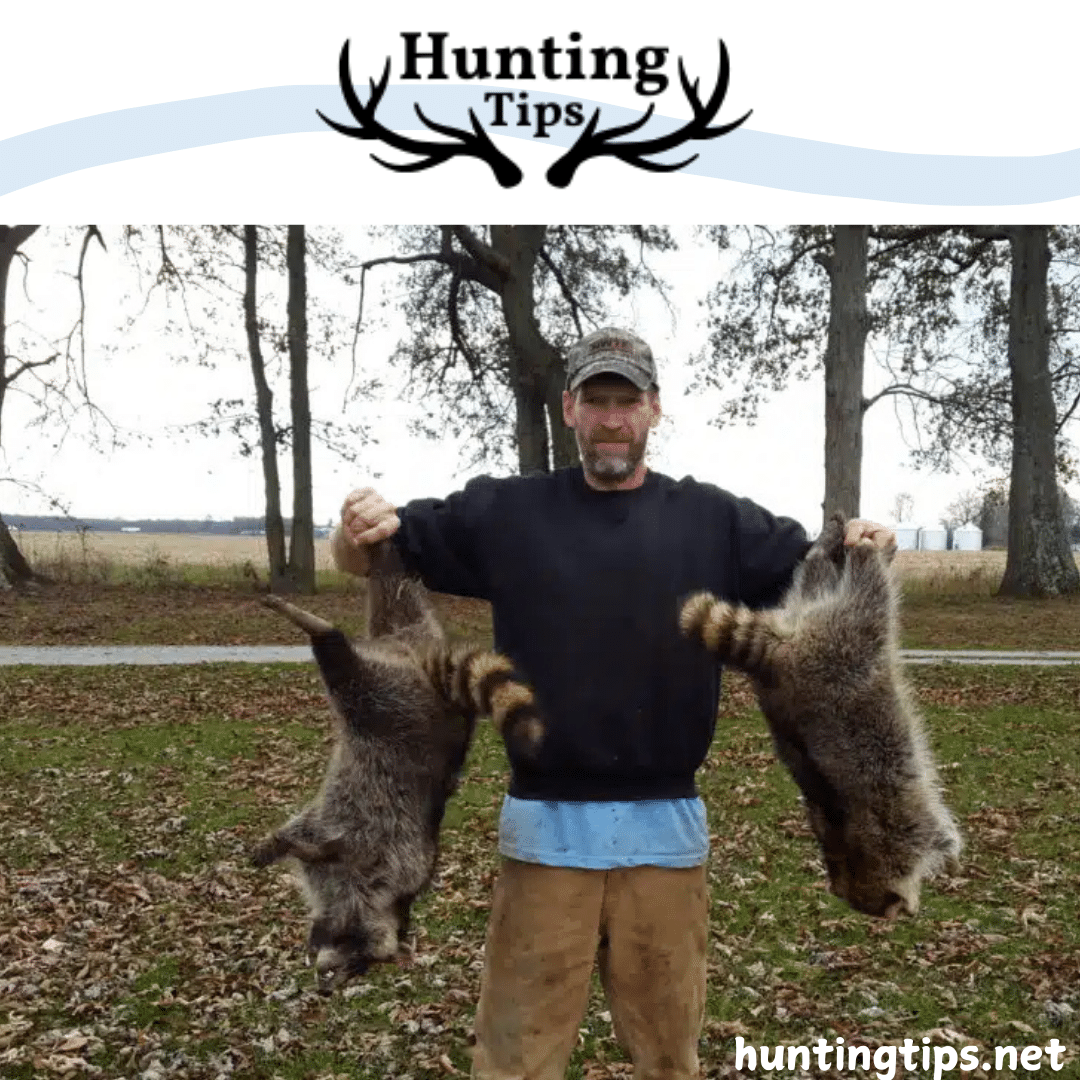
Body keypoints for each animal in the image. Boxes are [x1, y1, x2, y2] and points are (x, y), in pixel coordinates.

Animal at [250, 544, 540, 989]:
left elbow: (311, 837)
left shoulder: (380, 854)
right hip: (397, 695)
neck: (372, 902)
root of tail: (419, 655)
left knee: (369, 630)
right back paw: (328, 607)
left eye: (358, 966)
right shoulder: (384, 855)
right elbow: (319, 838)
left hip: (397, 681)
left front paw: (290, 846)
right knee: (356, 641)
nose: (325, 986)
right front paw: (289, 846)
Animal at [682, 514, 963, 920]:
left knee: (814, 578)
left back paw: (828, 548)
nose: (908, 913)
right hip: (843, 643)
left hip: (814, 617)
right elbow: (938, 832)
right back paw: (865, 556)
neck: (852, 859)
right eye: (892, 909)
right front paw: (952, 853)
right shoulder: (904, 824)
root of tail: (781, 655)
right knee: (869, 597)